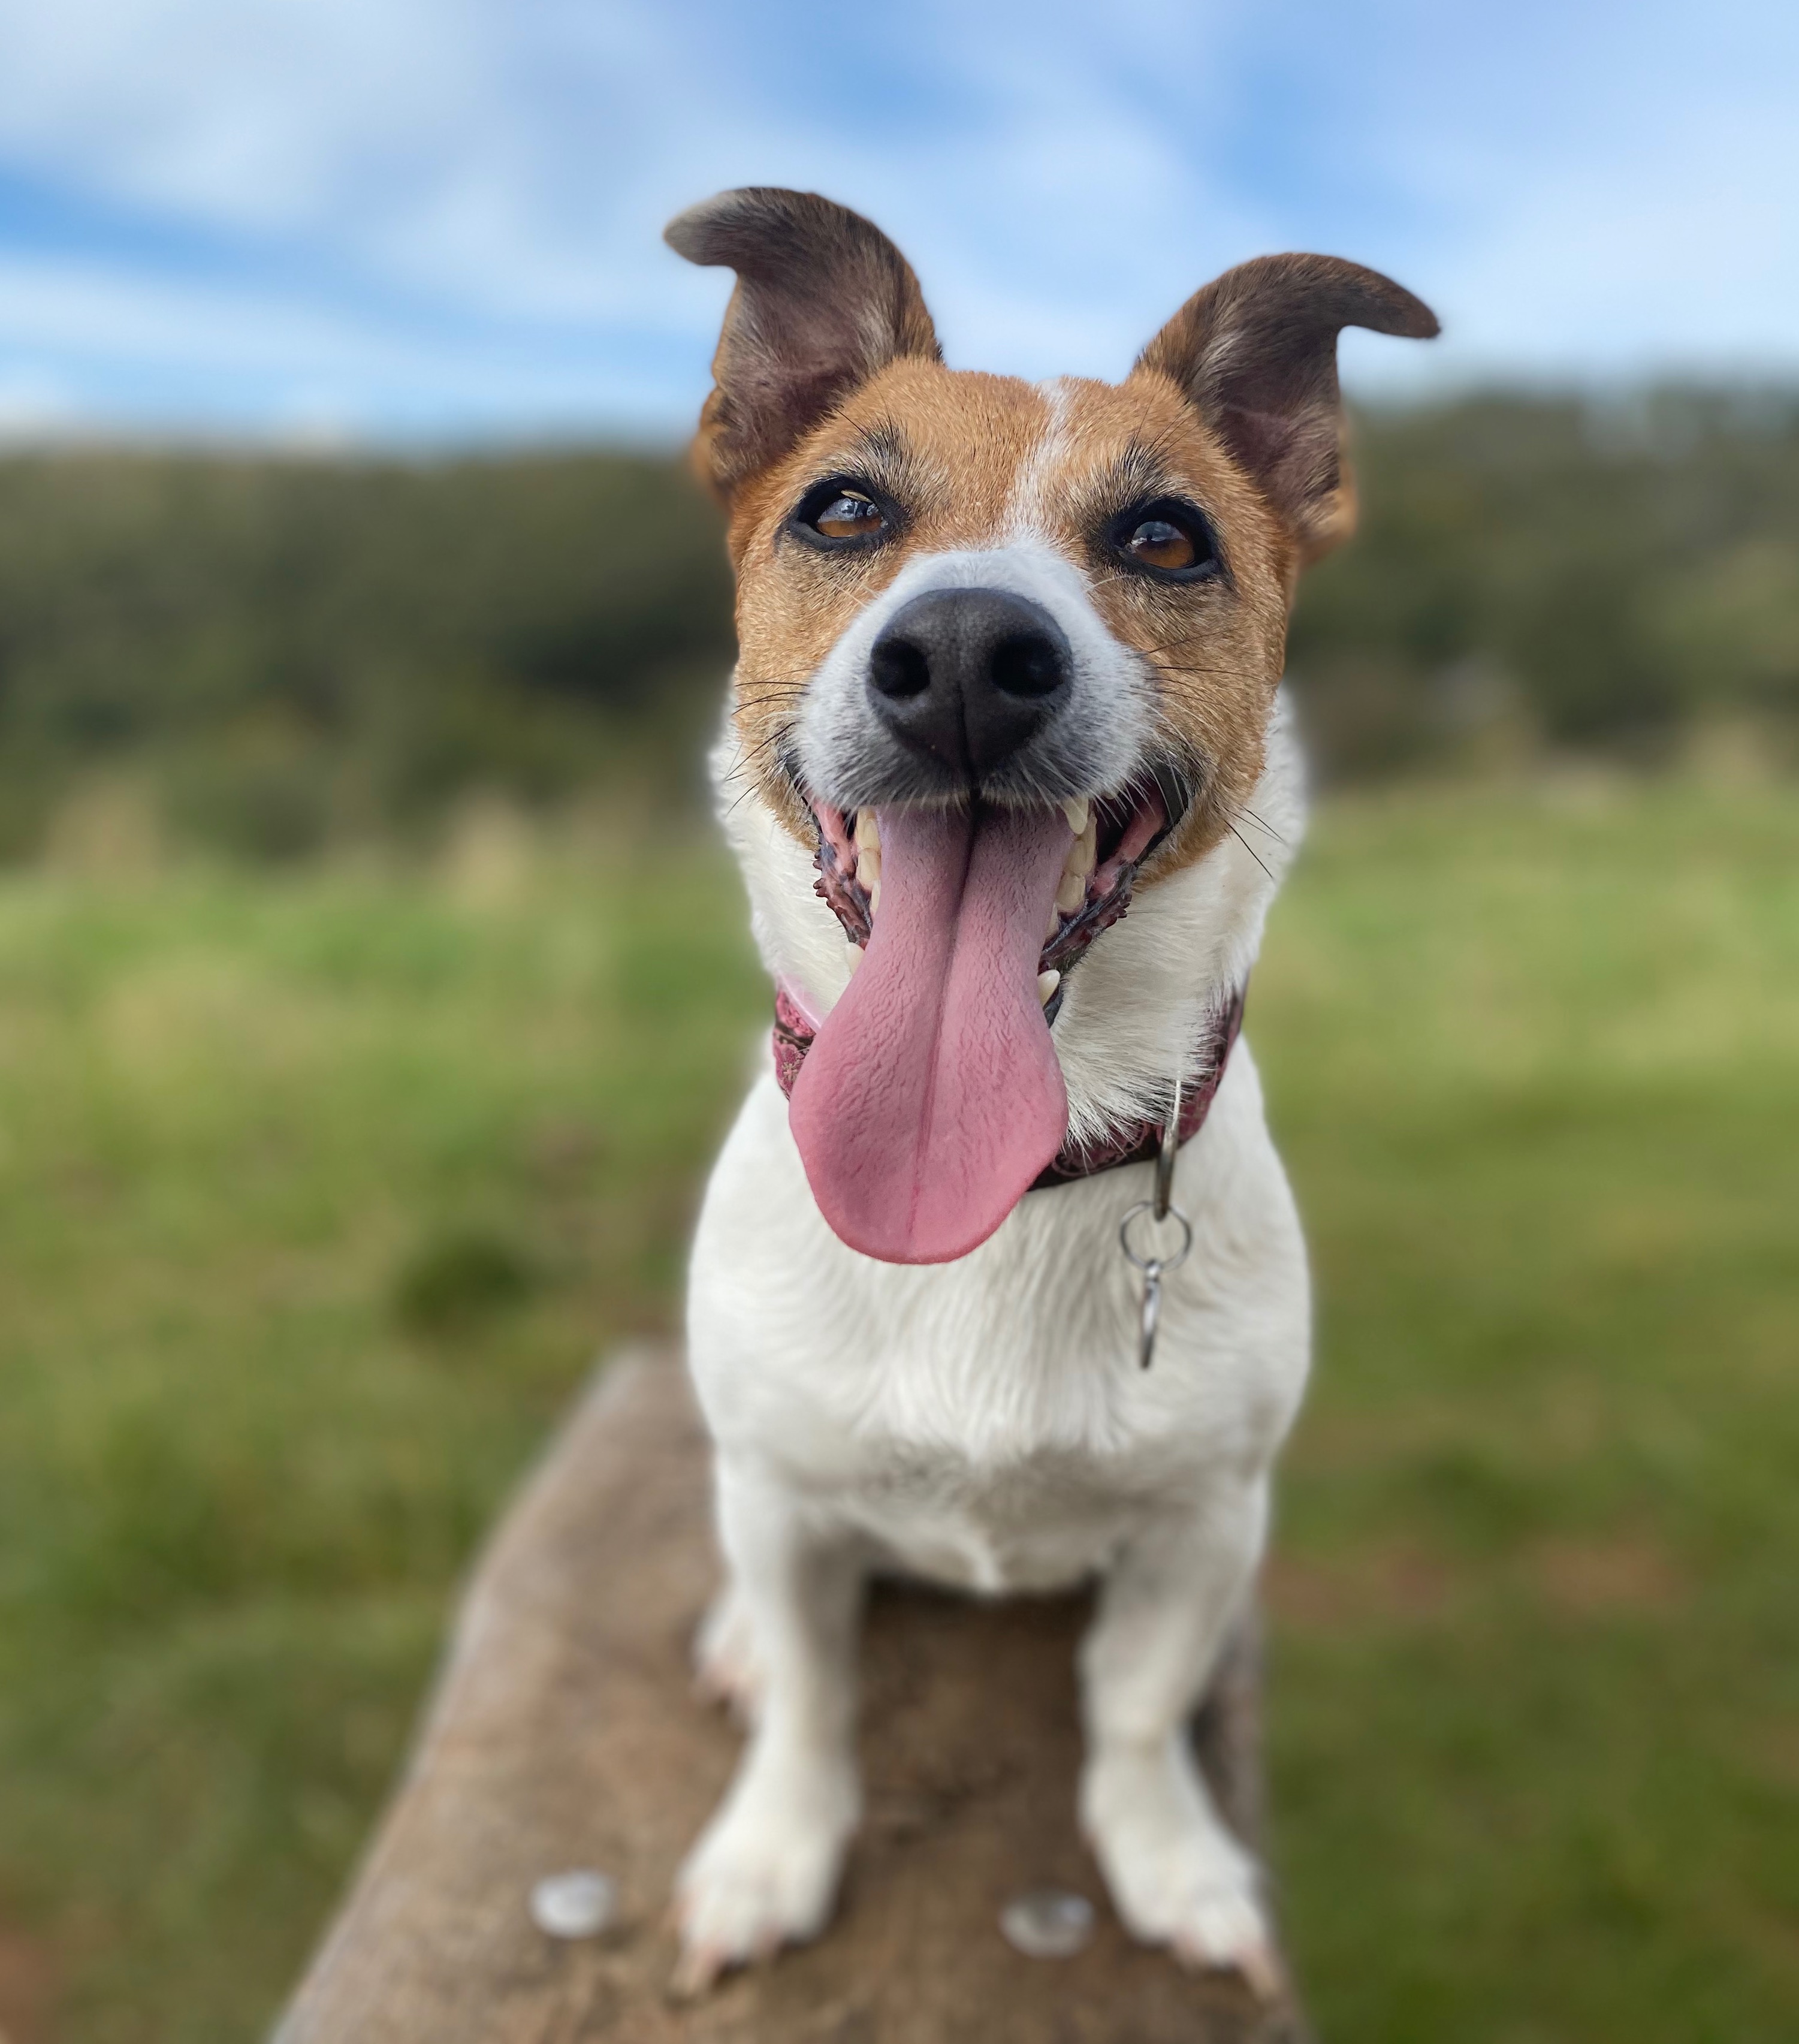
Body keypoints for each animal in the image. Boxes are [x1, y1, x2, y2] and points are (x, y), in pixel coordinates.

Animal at [662, 192, 1430, 1995]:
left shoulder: (1202, 1521)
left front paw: (1169, 1861)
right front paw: (770, 1852)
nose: (958, 656)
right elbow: (812, 1703)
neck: (999, 1194)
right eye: (844, 509)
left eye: (1164, 540)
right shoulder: (784, 1507)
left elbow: (1132, 1712)